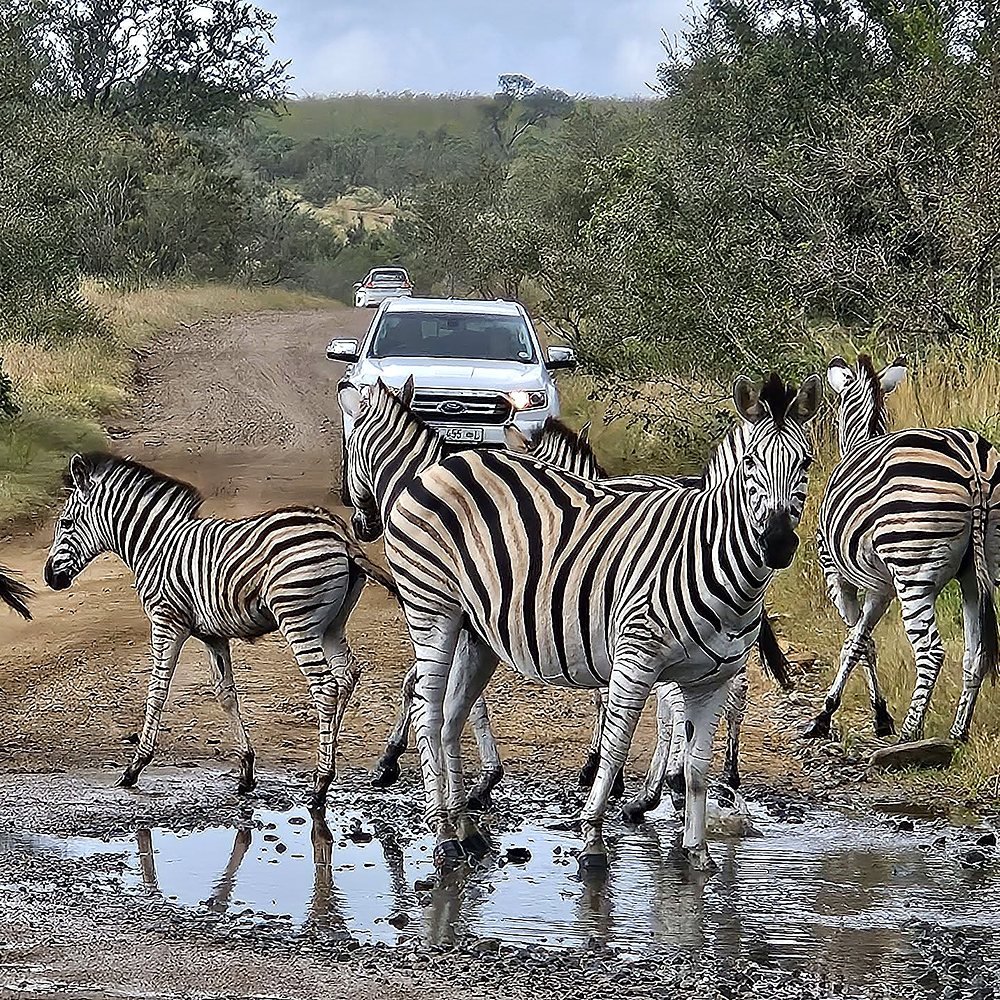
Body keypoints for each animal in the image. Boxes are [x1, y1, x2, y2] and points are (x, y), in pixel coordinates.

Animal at [42, 452, 396, 806]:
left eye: (66, 523)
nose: (49, 578)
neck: (154, 545)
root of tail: (338, 531)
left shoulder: (166, 621)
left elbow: (157, 690)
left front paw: (135, 767)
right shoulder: (213, 635)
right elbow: (226, 694)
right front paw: (246, 770)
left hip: (298, 620)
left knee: (326, 687)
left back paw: (321, 782)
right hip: (332, 624)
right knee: (347, 675)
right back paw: (327, 759)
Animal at [341, 372, 820, 870]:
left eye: (806, 462)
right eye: (750, 464)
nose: (779, 543)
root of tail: (452, 464)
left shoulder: (705, 679)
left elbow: (694, 768)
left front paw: (696, 851)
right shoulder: (634, 655)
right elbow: (616, 743)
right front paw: (592, 829)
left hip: (459, 621)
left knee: (444, 713)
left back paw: (462, 830)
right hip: (435, 608)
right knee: (433, 712)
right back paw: (447, 831)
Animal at [804, 355, 1000, 743]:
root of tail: (971, 460)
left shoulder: (838, 578)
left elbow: (857, 642)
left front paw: (830, 715)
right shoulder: (880, 588)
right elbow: (861, 641)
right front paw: (878, 714)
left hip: (913, 569)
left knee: (931, 651)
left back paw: (911, 731)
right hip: (980, 570)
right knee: (977, 653)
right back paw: (958, 733)